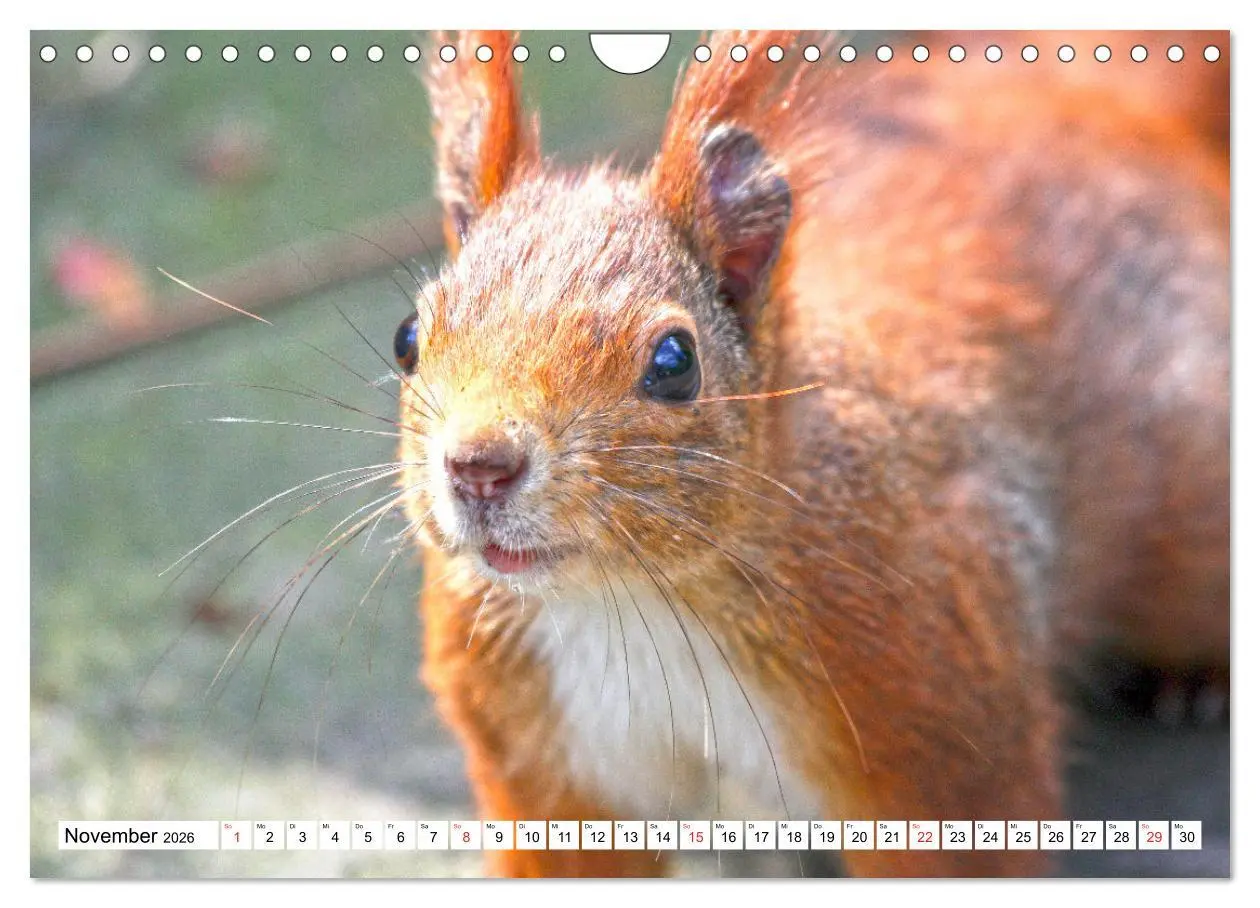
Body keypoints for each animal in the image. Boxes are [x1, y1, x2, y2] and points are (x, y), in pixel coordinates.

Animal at [390, 31, 1229, 876]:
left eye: (674, 363)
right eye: (407, 338)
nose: (479, 467)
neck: (630, 599)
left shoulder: (940, 715)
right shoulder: (540, 754)